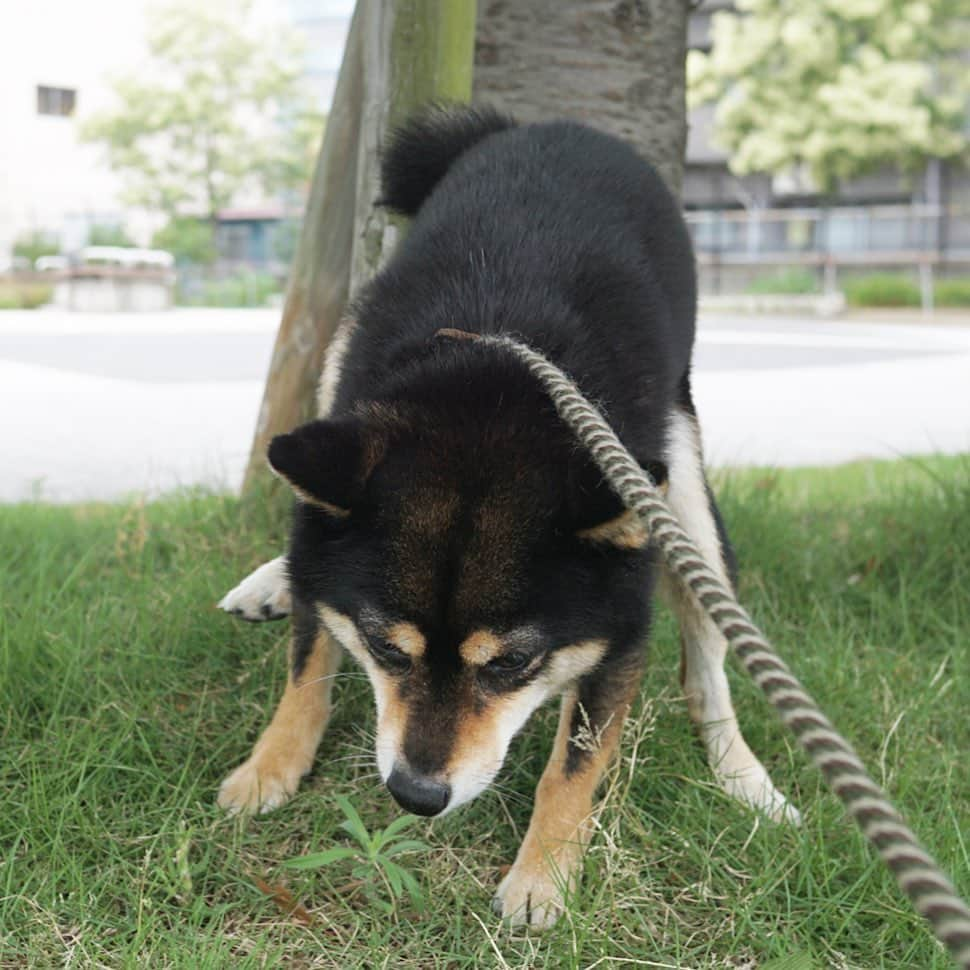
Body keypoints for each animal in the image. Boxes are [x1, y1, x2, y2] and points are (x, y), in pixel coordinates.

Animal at [216, 104, 796, 924]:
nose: (416, 796)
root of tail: (547, 124)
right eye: (386, 650)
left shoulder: (618, 629)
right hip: (338, 373)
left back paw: (746, 778)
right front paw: (271, 766)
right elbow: (308, 662)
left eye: (514, 664)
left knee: (708, 667)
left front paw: (542, 877)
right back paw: (271, 580)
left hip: (679, 488)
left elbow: (575, 765)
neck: (491, 384)